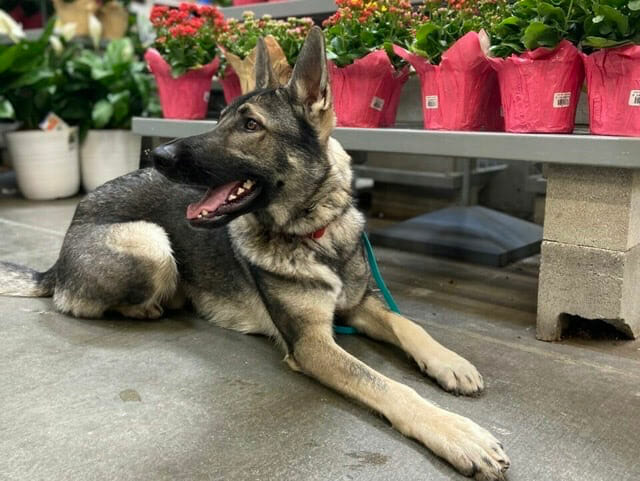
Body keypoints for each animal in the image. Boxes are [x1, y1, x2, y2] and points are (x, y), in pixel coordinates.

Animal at [0, 28, 510, 478]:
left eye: (250, 126)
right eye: (220, 119)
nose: (157, 157)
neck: (313, 234)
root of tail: (58, 258)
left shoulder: (359, 304)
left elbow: (409, 324)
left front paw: (450, 362)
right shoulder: (312, 345)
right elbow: (390, 386)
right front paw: (459, 434)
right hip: (152, 243)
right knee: (78, 303)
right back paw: (149, 306)